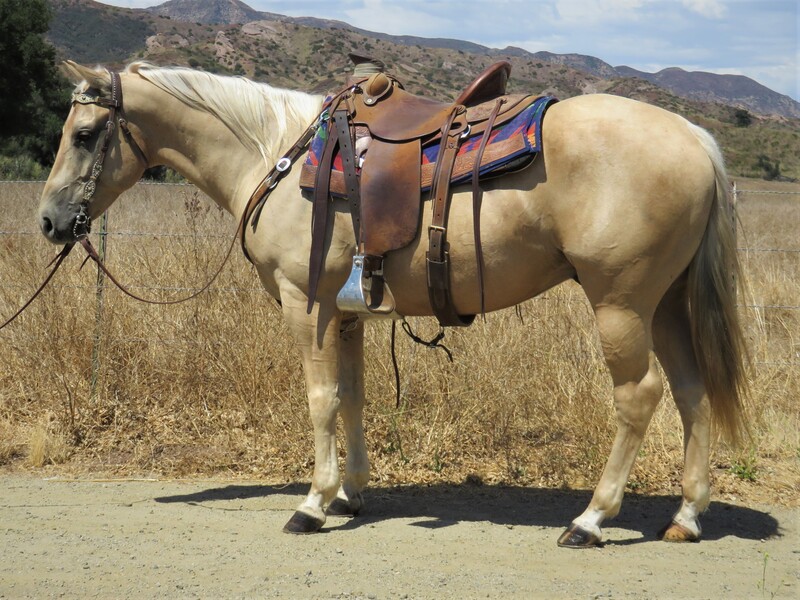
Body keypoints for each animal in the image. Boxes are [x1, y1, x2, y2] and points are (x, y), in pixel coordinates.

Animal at [38, 60, 747, 546]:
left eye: (86, 133)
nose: (49, 222)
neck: (273, 155)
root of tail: (694, 137)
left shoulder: (306, 306)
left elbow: (320, 399)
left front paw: (312, 503)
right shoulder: (346, 313)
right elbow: (352, 397)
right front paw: (350, 494)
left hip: (621, 304)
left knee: (640, 396)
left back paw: (592, 518)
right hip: (665, 305)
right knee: (691, 390)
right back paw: (687, 516)